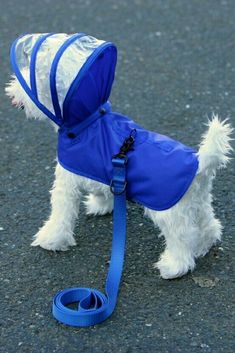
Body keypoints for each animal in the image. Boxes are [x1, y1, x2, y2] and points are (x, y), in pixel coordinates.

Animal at [5, 34, 233, 280]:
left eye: (33, 78)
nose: (10, 91)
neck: (87, 121)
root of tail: (199, 163)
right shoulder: (101, 172)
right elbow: (100, 190)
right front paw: (100, 205)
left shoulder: (66, 182)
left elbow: (60, 213)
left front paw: (51, 239)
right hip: (198, 202)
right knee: (209, 225)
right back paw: (204, 245)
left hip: (169, 212)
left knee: (182, 239)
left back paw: (173, 267)